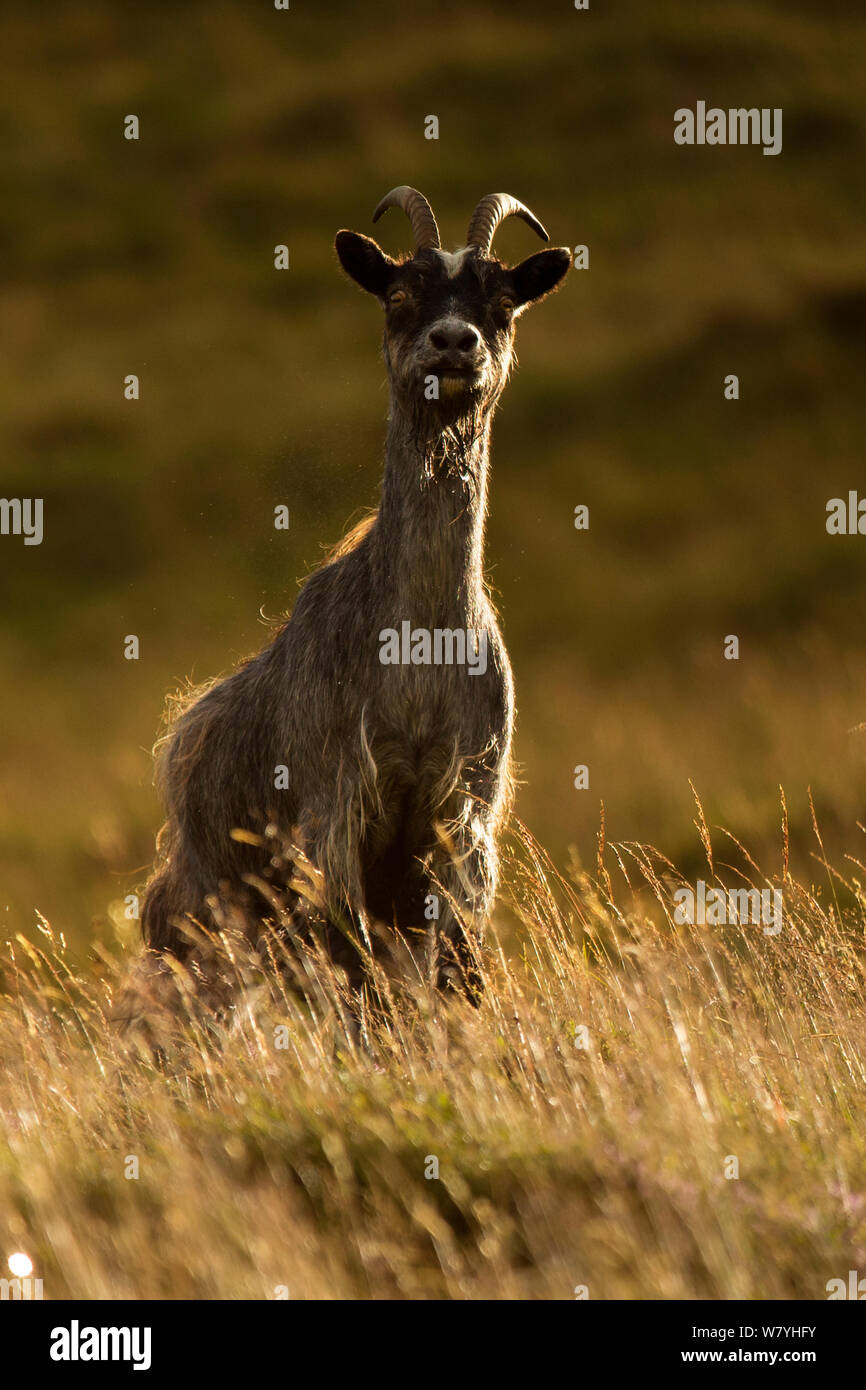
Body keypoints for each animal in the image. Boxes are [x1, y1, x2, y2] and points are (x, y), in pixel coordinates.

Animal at [138, 187, 570, 1007]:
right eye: (398, 296)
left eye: (503, 303)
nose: (454, 341)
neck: (419, 654)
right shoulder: (334, 811)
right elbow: (356, 976)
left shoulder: (461, 820)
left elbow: (458, 972)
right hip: (204, 910)